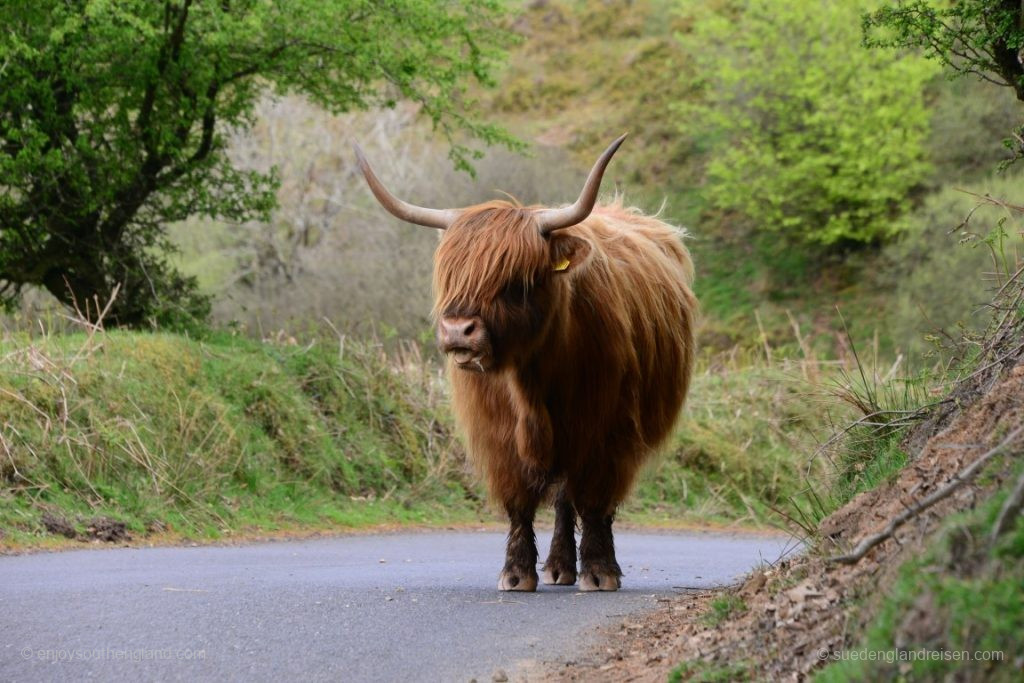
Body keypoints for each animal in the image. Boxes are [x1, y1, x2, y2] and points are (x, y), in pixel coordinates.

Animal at [356, 136, 700, 589]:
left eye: (515, 280)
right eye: (451, 276)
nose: (458, 331)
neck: (532, 382)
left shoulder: (607, 432)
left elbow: (594, 501)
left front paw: (599, 571)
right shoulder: (497, 436)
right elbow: (519, 502)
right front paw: (517, 572)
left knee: (576, 498)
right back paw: (557, 566)